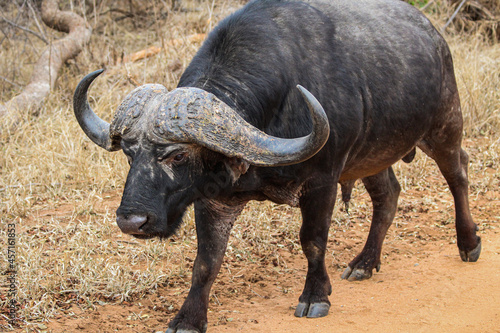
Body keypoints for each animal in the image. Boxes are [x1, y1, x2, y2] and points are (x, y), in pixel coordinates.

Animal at [73, 0, 480, 330]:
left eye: (177, 155)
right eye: (129, 153)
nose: (132, 221)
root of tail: (433, 35)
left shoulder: (322, 181)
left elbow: (312, 241)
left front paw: (315, 296)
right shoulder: (213, 199)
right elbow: (206, 261)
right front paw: (187, 318)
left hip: (444, 124)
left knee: (458, 173)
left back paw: (469, 242)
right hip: (374, 154)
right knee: (388, 195)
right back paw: (365, 262)